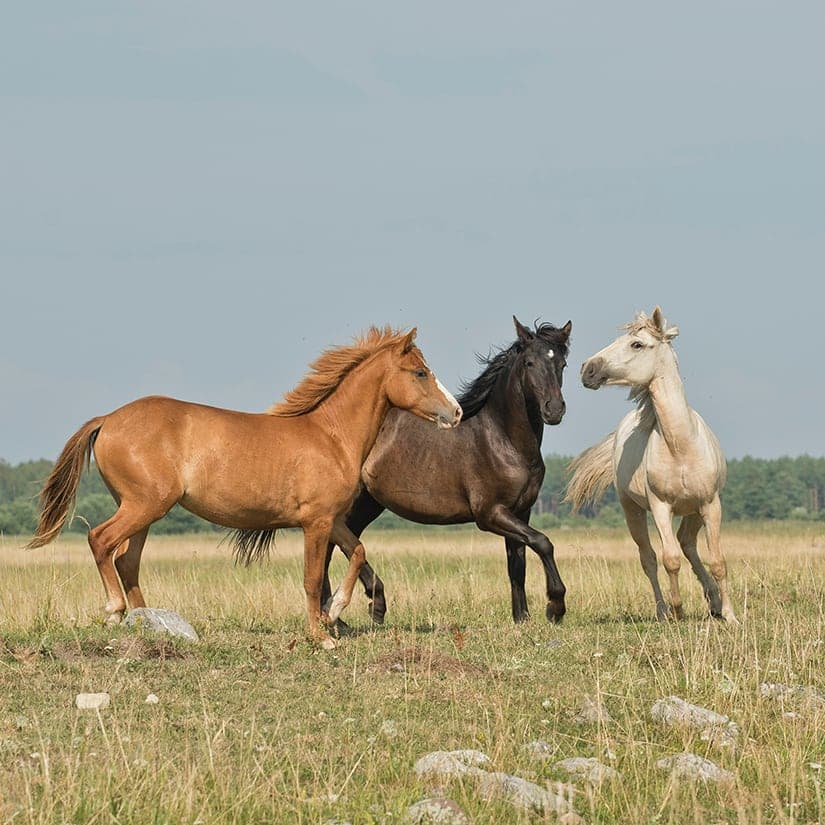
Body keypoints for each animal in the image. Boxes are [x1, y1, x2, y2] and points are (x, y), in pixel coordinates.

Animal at [27, 327, 462, 649]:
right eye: (420, 372)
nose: (456, 412)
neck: (331, 436)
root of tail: (108, 419)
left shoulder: (333, 520)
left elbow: (357, 552)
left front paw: (335, 611)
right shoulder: (316, 523)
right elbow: (311, 578)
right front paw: (320, 635)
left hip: (143, 511)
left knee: (126, 561)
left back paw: (149, 622)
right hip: (143, 505)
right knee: (101, 540)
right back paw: (116, 612)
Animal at [321, 317, 572, 625]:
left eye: (562, 364)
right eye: (529, 363)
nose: (554, 409)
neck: (502, 440)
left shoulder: (520, 511)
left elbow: (517, 564)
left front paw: (521, 618)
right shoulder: (490, 514)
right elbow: (543, 542)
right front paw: (555, 607)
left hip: (368, 503)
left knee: (343, 542)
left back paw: (355, 610)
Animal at [566, 307, 737, 623]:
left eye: (637, 344)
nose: (587, 369)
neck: (681, 446)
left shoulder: (710, 504)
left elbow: (718, 561)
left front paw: (730, 616)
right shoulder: (660, 507)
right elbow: (669, 559)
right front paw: (678, 610)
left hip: (694, 510)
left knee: (687, 543)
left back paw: (714, 602)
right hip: (632, 510)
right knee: (649, 558)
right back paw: (663, 610)